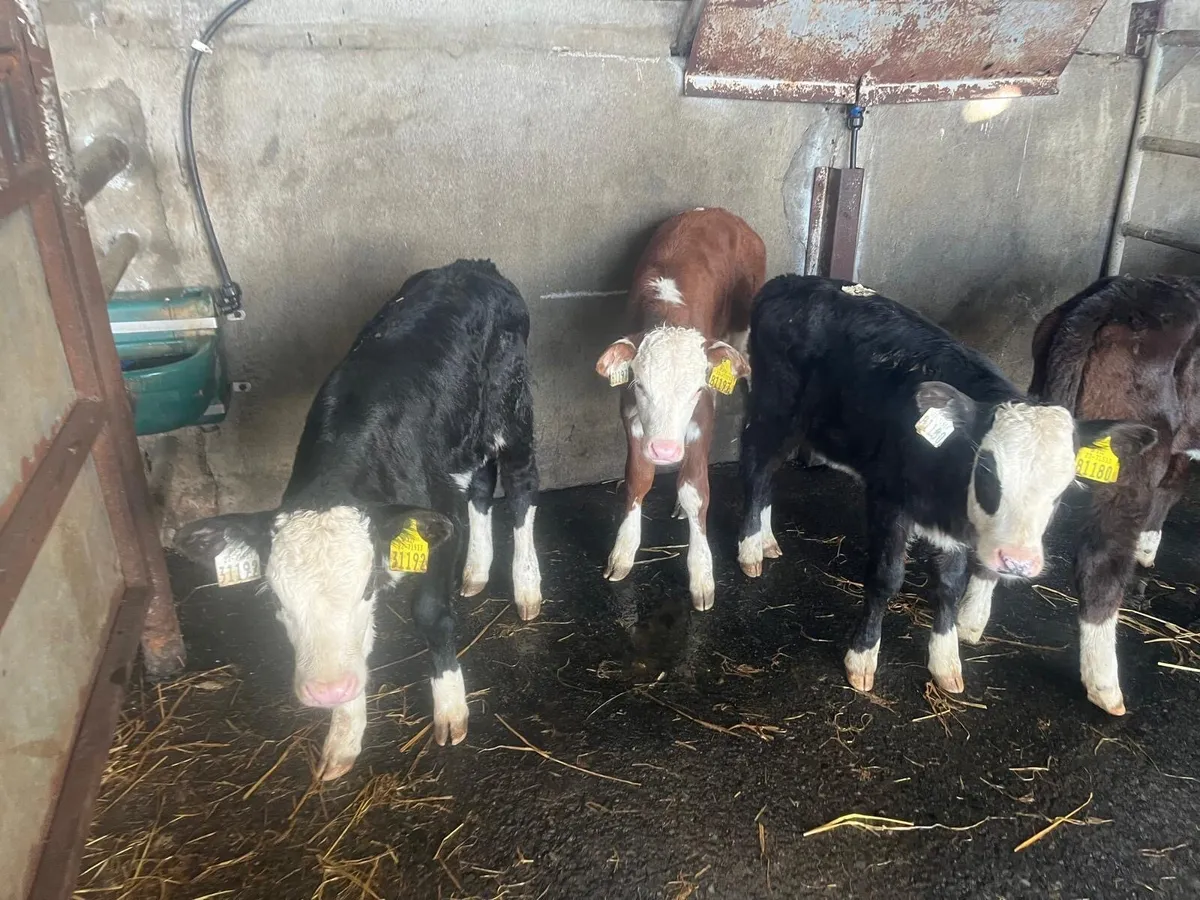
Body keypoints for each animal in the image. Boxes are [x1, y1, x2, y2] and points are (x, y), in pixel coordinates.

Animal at [173, 259, 544, 780]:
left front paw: (450, 707)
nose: (325, 691)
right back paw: (475, 572)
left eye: (367, 586)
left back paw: (526, 586)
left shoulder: (438, 518)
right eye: (274, 597)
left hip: (512, 409)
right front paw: (344, 733)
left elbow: (431, 613)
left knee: (521, 486)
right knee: (481, 487)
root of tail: (474, 266)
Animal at [594, 208, 765, 611]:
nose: (665, 449)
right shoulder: (631, 416)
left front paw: (702, 573)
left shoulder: (700, 418)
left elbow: (696, 490)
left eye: (694, 390)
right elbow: (638, 479)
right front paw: (623, 552)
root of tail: (719, 212)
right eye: (640, 384)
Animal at [737, 275, 1154, 697]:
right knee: (755, 466)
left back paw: (767, 539)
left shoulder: (957, 531)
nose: (1018, 562)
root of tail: (792, 281)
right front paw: (862, 657)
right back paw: (750, 547)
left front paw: (945, 659)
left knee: (768, 473)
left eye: (1064, 487)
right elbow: (886, 578)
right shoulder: (888, 499)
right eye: (986, 468)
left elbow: (952, 585)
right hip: (775, 408)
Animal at [955, 274, 1197, 716]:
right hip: (1135, 455)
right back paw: (1105, 686)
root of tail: (1116, 299)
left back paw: (970, 622)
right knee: (1100, 561)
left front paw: (1150, 546)